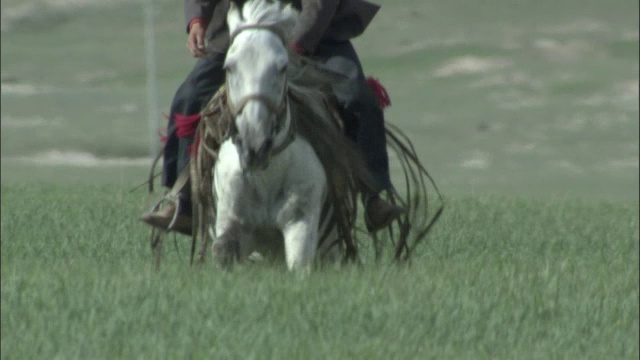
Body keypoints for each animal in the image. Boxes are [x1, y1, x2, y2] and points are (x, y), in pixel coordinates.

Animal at [210, 0, 342, 270]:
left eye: (282, 67)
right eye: (229, 67)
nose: (255, 146)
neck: (266, 177)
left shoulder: (300, 224)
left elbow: (299, 266)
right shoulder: (233, 224)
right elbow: (222, 250)